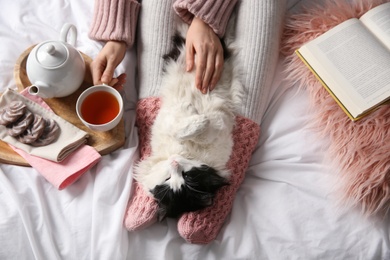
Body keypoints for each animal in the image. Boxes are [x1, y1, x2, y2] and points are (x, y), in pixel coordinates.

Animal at [134, 22, 244, 220]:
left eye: (188, 177)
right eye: (168, 178)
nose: (174, 162)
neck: (184, 153)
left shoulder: (220, 128)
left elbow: (198, 130)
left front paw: (195, 114)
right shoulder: (166, 123)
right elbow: (182, 128)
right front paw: (194, 114)